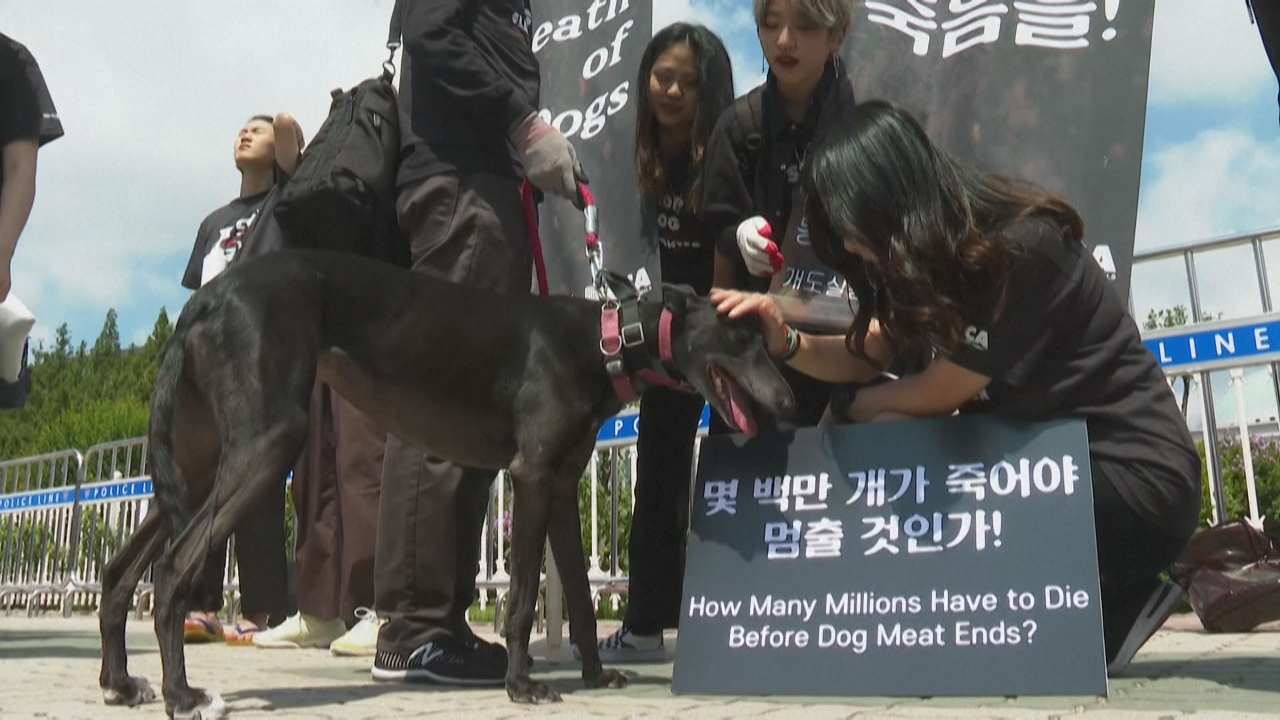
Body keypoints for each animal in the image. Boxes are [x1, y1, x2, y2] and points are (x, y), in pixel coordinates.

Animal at [99, 248, 793, 717]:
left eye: (766, 340)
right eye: (740, 336)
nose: (786, 403)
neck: (606, 338)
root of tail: (203, 299)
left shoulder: (560, 487)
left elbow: (579, 593)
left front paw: (595, 676)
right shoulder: (531, 476)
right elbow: (520, 599)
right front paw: (522, 684)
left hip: (199, 467)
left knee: (119, 571)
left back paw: (120, 682)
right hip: (266, 447)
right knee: (171, 568)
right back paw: (183, 694)